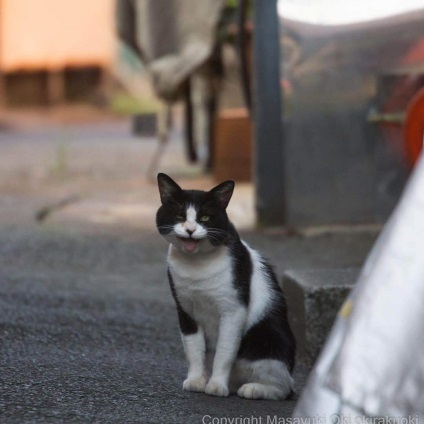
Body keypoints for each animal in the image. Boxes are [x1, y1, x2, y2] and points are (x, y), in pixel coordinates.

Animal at [155, 173, 294, 400]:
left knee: (284, 386)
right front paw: (196, 380)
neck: (197, 264)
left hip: (267, 340)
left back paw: (253, 389)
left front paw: (217, 385)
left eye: (205, 218)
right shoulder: (185, 310)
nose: (190, 230)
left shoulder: (233, 311)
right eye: (179, 215)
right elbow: (193, 350)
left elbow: (224, 351)